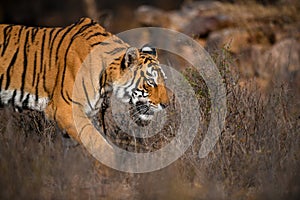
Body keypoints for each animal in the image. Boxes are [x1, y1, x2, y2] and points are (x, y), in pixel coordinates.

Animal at [0, 17, 169, 145]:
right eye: (151, 82)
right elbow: (99, 144)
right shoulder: (66, 110)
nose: (166, 105)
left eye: (163, 80)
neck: (106, 81)